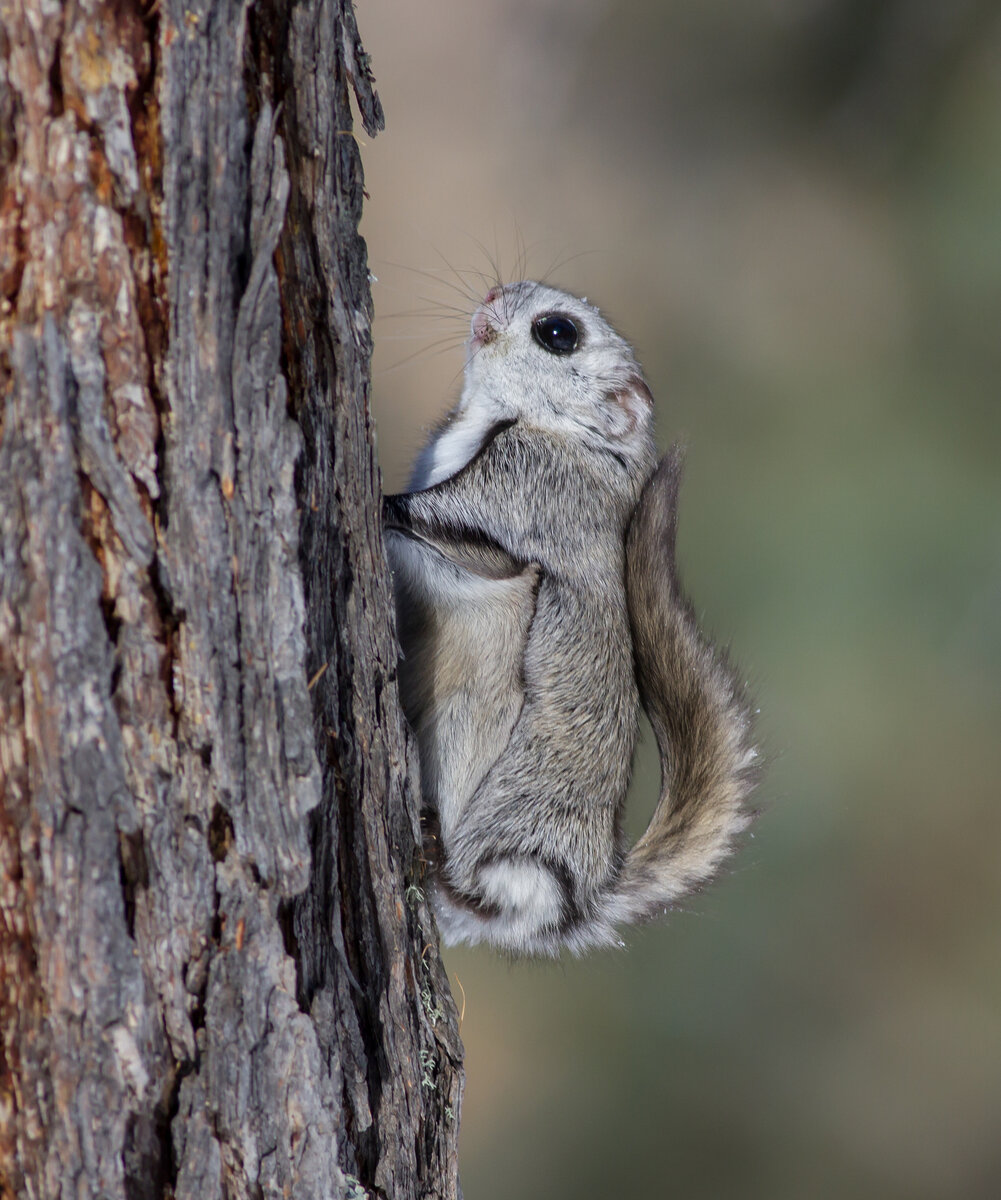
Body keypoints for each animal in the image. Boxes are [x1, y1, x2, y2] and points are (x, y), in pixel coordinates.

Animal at [381, 280, 758, 955]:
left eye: (558, 333)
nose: (492, 293)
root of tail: (575, 904)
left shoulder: (528, 489)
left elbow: (430, 524)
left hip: (485, 755)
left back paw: (433, 852)